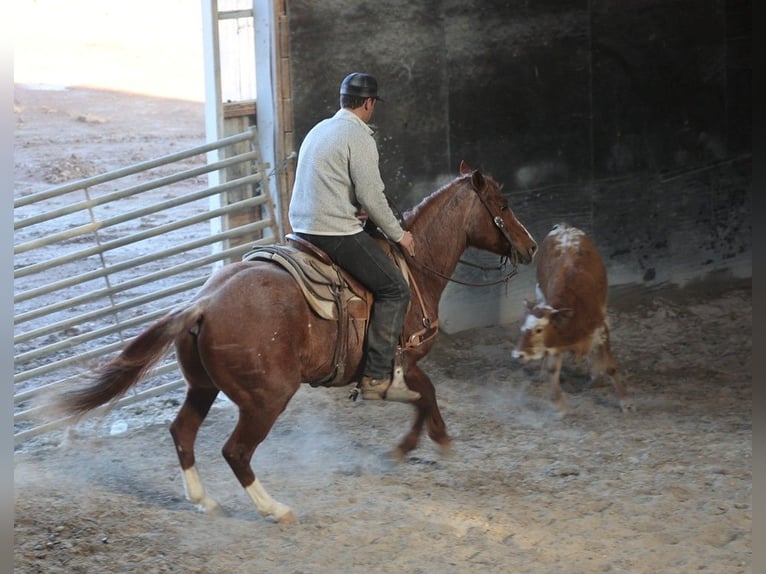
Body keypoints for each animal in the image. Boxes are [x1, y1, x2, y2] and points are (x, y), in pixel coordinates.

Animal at [55, 160, 540, 524]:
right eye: (502, 204)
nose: (532, 246)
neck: (415, 266)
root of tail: (204, 303)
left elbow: (424, 396)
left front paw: (412, 445)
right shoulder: (404, 360)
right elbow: (426, 393)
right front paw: (426, 441)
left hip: (203, 387)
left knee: (182, 432)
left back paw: (205, 500)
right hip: (267, 397)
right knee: (236, 451)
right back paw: (274, 508)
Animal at [512, 223, 632, 416]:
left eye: (539, 330)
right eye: (522, 328)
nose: (518, 354)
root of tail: (563, 227)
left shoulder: (602, 328)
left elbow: (610, 367)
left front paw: (626, 401)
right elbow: (553, 368)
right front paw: (559, 405)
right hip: (540, 292)